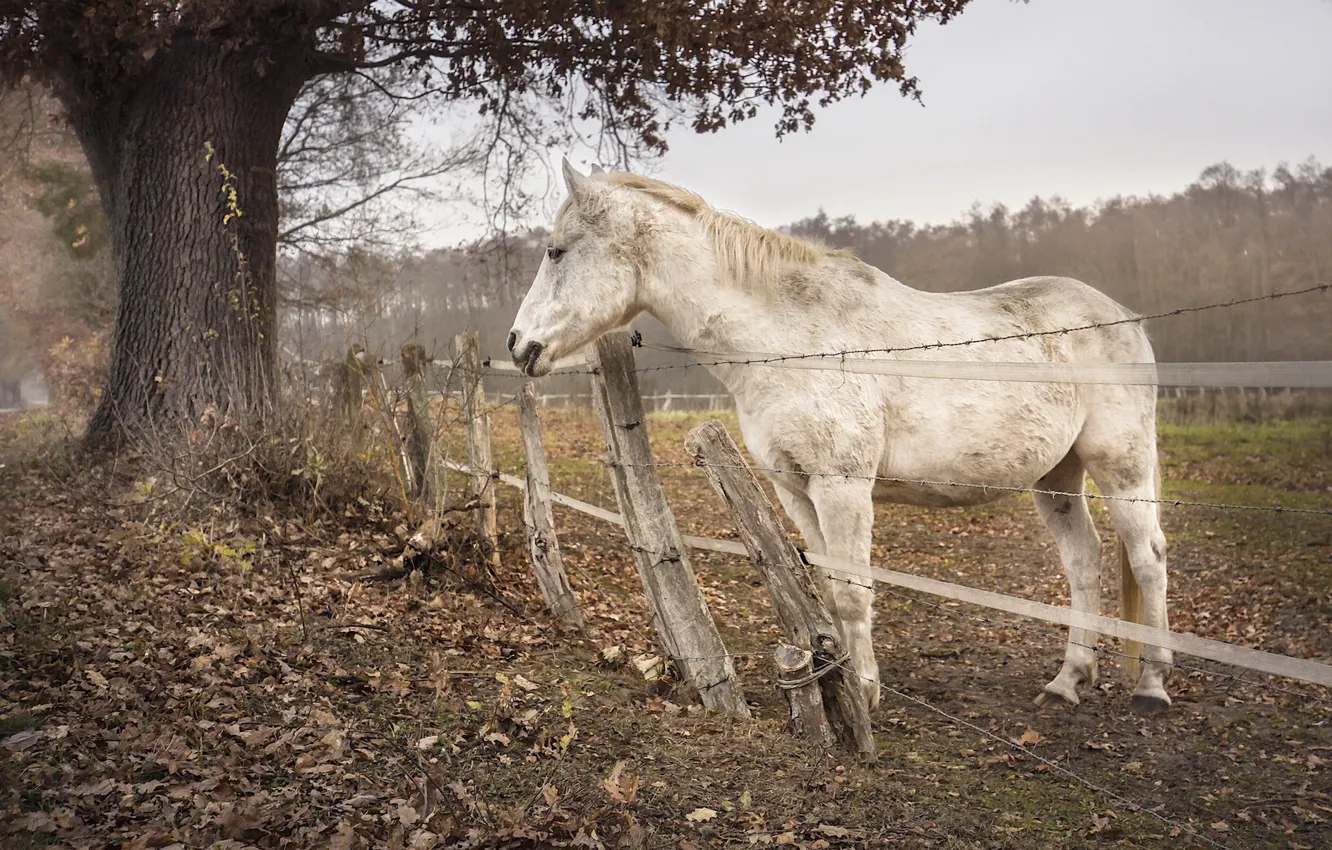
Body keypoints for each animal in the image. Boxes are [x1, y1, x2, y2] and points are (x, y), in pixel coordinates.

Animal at [508, 159, 1173, 714]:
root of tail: (1123, 318)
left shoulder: (841, 485)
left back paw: (1152, 684)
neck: (791, 340)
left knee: (1148, 557)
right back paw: (1069, 680)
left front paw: (866, 692)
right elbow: (828, 587)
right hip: (1056, 477)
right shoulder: (795, 488)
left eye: (556, 251)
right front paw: (843, 684)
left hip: (1121, 465)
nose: (519, 345)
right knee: (1085, 562)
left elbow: (853, 591)